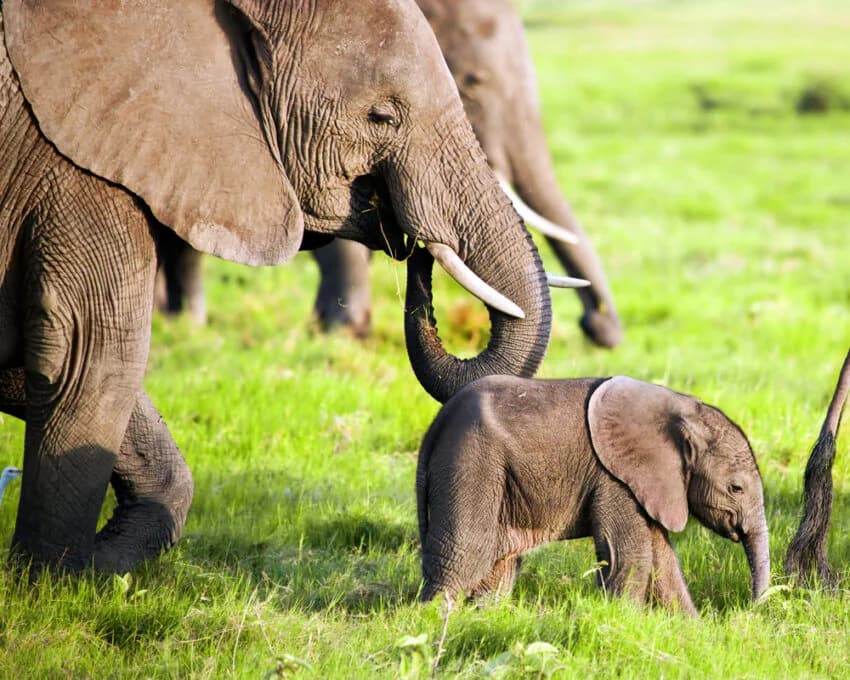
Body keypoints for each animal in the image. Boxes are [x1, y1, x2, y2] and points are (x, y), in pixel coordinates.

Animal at [0, 0, 568, 571]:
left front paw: (98, 565)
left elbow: (38, 363)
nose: (413, 243)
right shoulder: (75, 166)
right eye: (382, 117)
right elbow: (93, 352)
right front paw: (55, 579)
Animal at [416, 375, 770, 614]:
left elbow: (662, 558)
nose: (750, 608)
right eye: (736, 488)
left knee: (497, 565)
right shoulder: (615, 478)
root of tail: (436, 424)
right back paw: (434, 621)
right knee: (465, 553)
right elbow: (630, 555)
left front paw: (690, 631)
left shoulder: (648, 483)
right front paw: (624, 621)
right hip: (471, 460)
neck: (682, 408)